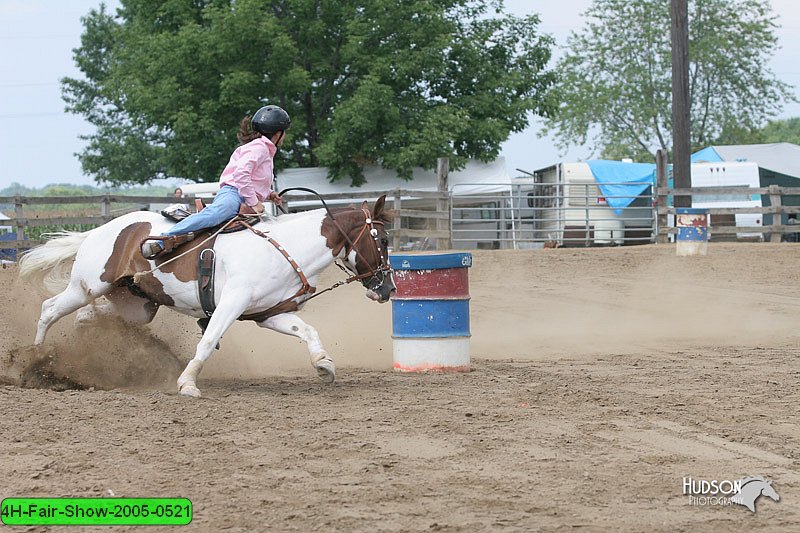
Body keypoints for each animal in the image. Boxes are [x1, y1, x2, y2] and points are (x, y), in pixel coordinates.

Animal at [18, 195, 394, 394]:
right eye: (385, 240)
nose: (388, 288)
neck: (287, 247)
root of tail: (100, 230)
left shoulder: (268, 313)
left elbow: (308, 330)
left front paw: (324, 365)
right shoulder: (231, 303)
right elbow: (209, 340)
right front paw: (187, 382)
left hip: (137, 304)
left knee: (86, 315)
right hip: (88, 286)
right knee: (50, 309)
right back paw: (34, 360)